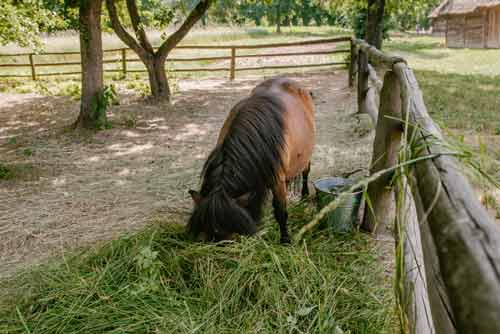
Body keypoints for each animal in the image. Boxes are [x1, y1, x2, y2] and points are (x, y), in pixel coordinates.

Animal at [189, 77, 314, 243]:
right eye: (205, 234)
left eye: (231, 234)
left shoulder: (277, 181)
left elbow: (281, 212)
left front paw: (285, 240)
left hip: (305, 158)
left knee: (306, 172)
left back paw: (305, 195)